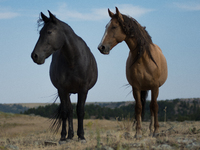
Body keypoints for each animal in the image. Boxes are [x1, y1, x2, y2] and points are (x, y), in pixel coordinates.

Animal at [30, 10, 98, 143]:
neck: (73, 60)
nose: (35, 56)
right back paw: (70, 135)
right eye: (40, 32)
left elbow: (80, 111)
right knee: (69, 110)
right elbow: (65, 112)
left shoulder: (83, 89)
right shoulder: (62, 89)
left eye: (49, 32)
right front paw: (63, 136)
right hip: (67, 92)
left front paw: (81, 136)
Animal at [98, 7, 167, 138]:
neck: (143, 58)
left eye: (114, 27)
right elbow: (138, 107)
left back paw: (152, 130)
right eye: (105, 26)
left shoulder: (155, 86)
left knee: (152, 107)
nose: (101, 47)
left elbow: (155, 106)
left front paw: (156, 131)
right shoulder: (136, 87)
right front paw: (138, 132)